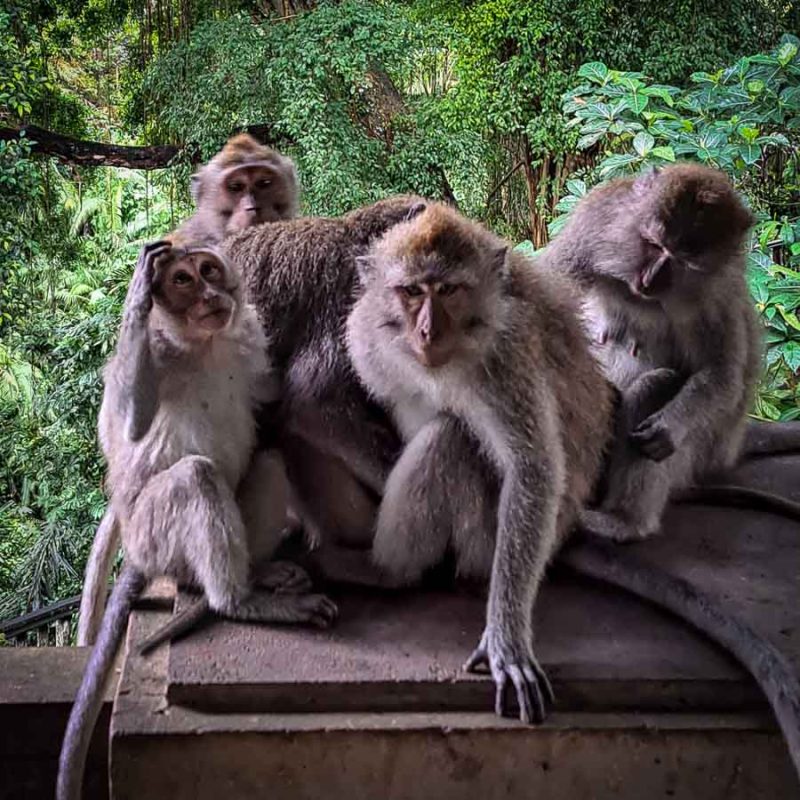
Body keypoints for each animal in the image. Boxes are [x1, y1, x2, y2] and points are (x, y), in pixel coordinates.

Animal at [58, 238, 336, 800]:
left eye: (208, 271)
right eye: (181, 281)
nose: (209, 294)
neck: (204, 344)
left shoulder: (248, 339)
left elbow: (271, 402)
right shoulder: (154, 352)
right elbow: (130, 423)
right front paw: (137, 295)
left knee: (268, 458)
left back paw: (259, 572)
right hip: (152, 536)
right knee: (196, 476)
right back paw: (238, 601)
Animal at [344, 203, 615, 723]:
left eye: (449, 290)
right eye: (412, 291)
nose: (427, 331)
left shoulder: (505, 360)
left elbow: (532, 468)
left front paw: (506, 639)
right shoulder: (371, 343)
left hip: (486, 542)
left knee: (449, 441)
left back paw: (386, 573)